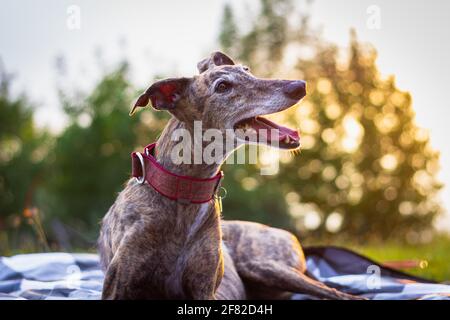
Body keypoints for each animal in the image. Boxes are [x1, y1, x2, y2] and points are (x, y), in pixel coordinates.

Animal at [97, 51, 362, 298]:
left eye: (247, 70)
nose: (300, 86)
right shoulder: (118, 286)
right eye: (223, 86)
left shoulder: (205, 288)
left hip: (266, 265)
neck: (182, 191)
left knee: (335, 292)